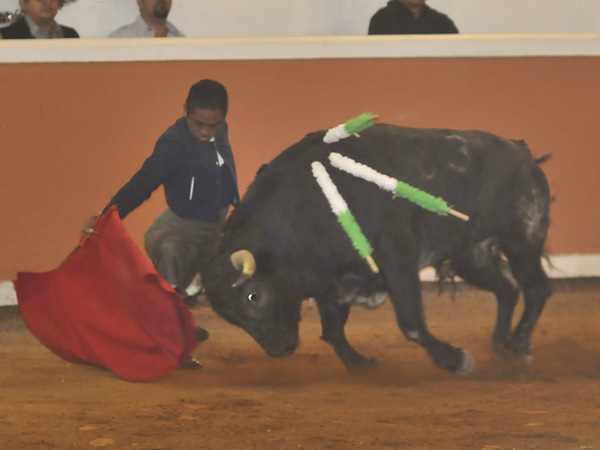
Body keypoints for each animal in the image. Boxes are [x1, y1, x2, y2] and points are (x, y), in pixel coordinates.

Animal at [201, 123, 553, 374]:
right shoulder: (332, 281)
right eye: (229, 316)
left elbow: (411, 323)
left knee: (537, 288)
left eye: (253, 296)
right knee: (507, 288)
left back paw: (520, 344)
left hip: (522, 238)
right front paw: (361, 365)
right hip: (472, 256)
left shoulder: (398, 259)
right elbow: (333, 331)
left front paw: (455, 360)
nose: (280, 349)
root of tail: (521, 151)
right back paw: (500, 344)